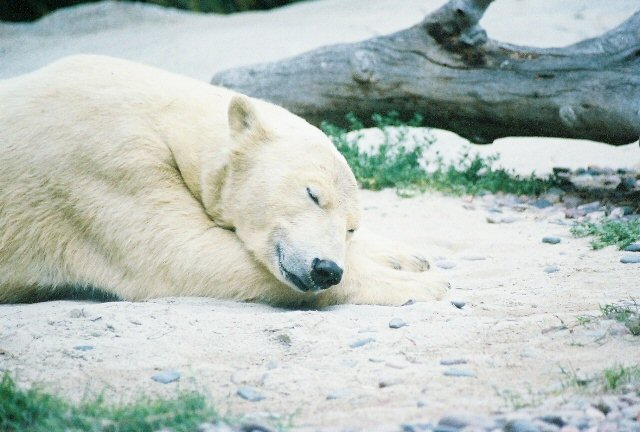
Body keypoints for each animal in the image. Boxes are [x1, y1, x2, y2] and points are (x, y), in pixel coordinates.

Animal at [0, 54, 450, 308]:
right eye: (312, 194)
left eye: (351, 226)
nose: (326, 269)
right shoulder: (105, 162)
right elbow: (183, 255)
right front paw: (425, 283)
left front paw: (410, 256)